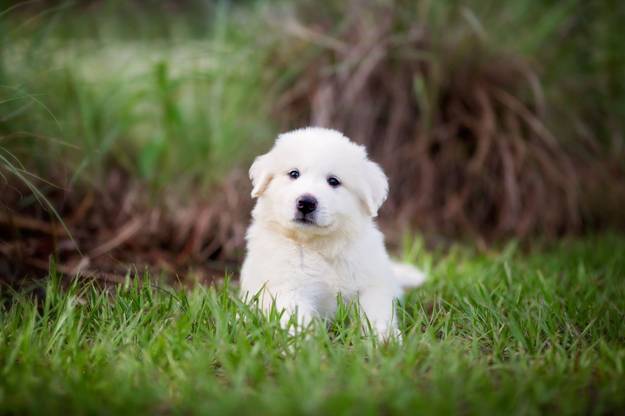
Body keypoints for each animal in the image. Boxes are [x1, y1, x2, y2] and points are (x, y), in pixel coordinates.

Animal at [239, 127, 424, 338]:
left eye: (333, 181)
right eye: (294, 174)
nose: (306, 203)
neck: (320, 246)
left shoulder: (371, 285)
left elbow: (376, 314)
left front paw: (384, 339)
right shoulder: (288, 288)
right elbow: (297, 319)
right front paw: (305, 343)